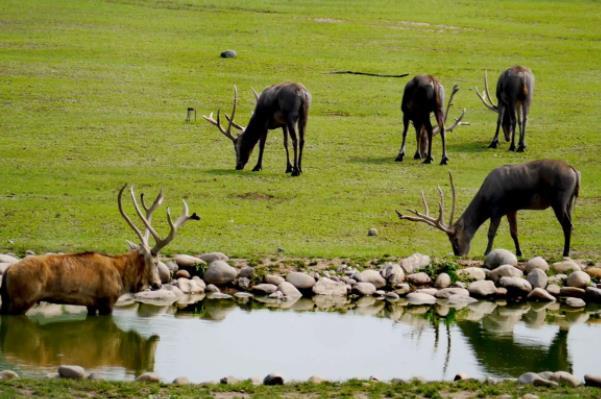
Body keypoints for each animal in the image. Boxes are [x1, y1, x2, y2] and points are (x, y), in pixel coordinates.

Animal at [0, 186, 202, 318]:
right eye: (156, 261)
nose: (158, 284)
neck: (122, 276)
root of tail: (7, 271)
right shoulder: (107, 300)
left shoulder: (91, 304)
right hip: (21, 301)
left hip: (9, 300)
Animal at [396, 160, 580, 258]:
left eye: (455, 239)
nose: (459, 254)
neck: (486, 197)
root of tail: (575, 172)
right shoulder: (511, 209)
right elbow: (514, 232)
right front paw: (519, 252)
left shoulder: (497, 209)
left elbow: (491, 233)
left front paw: (486, 252)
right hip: (570, 201)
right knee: (570, 223)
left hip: (559, 200)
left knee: (567, 225)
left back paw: (565, 253)